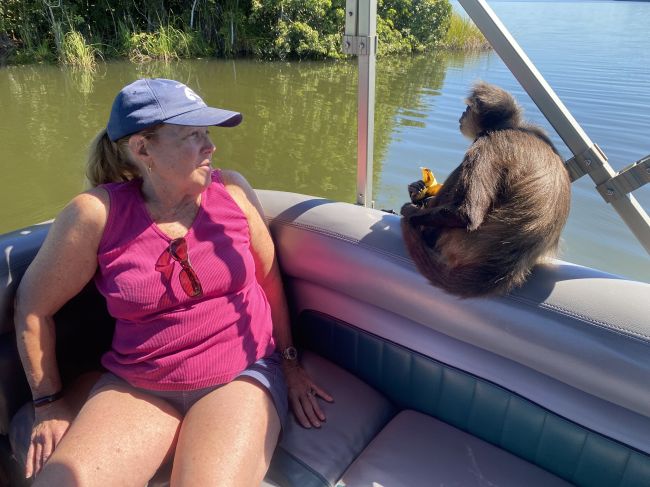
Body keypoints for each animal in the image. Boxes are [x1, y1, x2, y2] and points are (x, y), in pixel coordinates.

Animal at [400, 81, 571, 298]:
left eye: (468, 108)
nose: (462, 114)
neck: (512, 128)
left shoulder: (487, 143)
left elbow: (466, 215)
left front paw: (410, 210)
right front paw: (417, 190)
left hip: (451, 241)